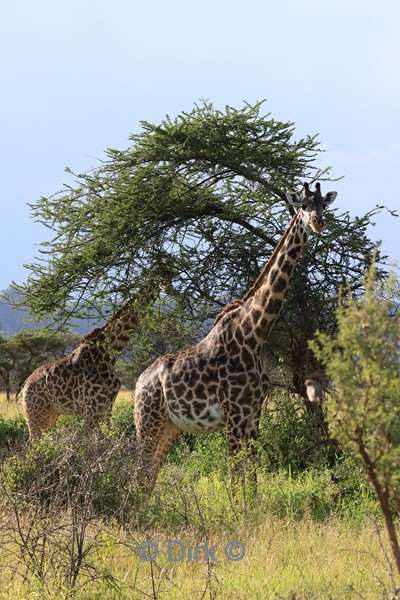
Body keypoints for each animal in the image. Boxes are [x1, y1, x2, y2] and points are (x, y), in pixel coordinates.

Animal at [20, 270, 169, 438]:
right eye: (163, 274)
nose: (169, 285)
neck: (109, 353)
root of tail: (24, 386)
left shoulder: (107, 406)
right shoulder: (92, 408)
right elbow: (92, 440)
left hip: (51, 414)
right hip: (36, 414)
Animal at [134, 182, 338, 488]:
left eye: (323, 205)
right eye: (302, 205)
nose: (318, 223)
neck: (253, 333)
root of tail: (137, 384)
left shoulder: (253, 415)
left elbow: (251, 477)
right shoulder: (234, 415)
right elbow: (235, 476)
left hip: (170, 427)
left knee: (149, 474)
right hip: (147, 422)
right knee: (137, 472)